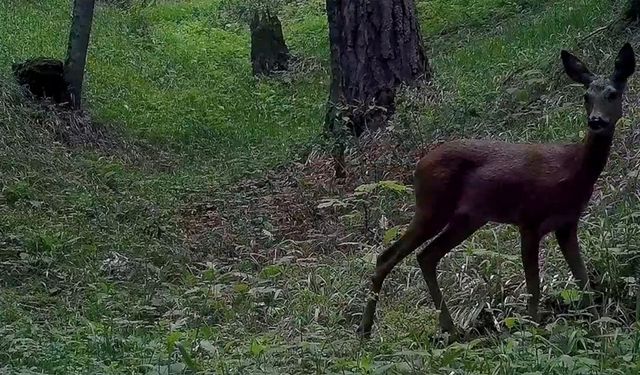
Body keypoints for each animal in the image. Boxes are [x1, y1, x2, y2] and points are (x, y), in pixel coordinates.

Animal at [360, 43, 636, 338]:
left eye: (612, 93)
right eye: (586, 96)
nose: (596, 121)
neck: (571, 170)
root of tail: (418, 166)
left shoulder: (567, 223)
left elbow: (582, 279)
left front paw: (599, 328)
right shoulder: (529, 220)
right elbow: (534, 289)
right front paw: (533, 333)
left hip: (467, 218)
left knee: (426, 256)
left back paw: (450, 330)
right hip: (432, 207)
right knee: (388, 256)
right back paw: (366, 330)